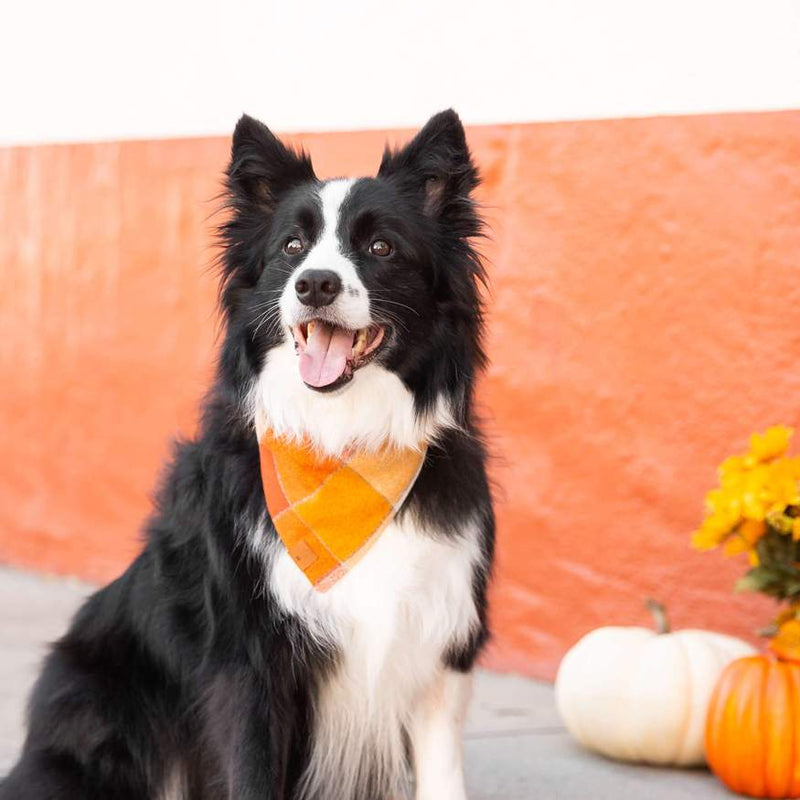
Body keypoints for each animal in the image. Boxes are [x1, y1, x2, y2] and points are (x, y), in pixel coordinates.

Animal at [1, 108, 494, 800]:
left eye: (381, 248)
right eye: (291, 247)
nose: (315, 284)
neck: (343, 442)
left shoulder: (438, 648)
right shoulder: (250, 659)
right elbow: (252, 771)